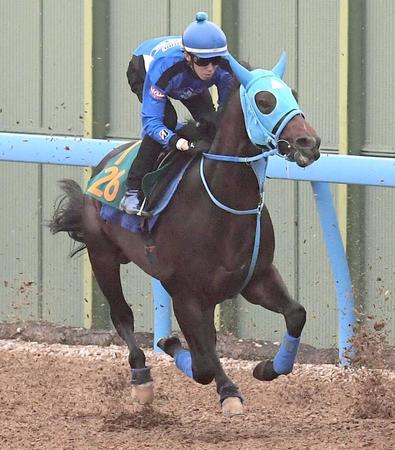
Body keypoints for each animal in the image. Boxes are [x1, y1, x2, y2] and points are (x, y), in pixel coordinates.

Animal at [50, 54, 322, 416]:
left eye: (293, 93)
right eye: (265, 101)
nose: (310, 143)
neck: (220, 204)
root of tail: (101, 167)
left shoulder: (256, 278)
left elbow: (295, 314)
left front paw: (267, 367)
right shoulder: (184, 293)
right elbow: (204, 363)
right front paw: (224, 387)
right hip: (102, 255)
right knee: (122, 316)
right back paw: (141, 377)